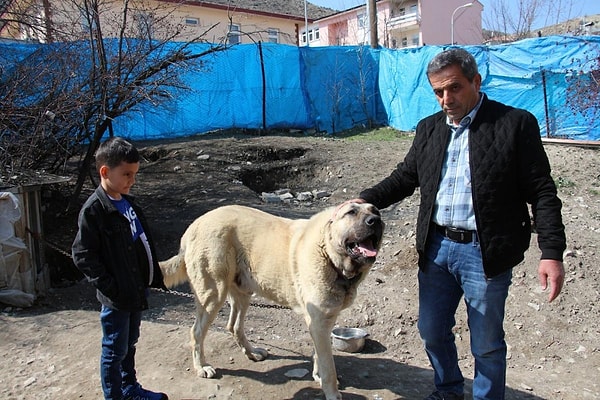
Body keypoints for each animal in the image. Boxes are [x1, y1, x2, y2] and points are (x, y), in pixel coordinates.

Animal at [159, 203, 384, 400]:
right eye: (351, 212)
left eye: (375, 211)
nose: (376, 220)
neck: (328, 253)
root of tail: (194, 226)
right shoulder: (319, 322)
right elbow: (329, 365)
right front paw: (331, 392)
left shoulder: (323, 321)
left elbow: (320, 355)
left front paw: (318, 375)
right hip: (213, 295)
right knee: (196, 332)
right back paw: (201, 367)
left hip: (243, 292)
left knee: (234, 326)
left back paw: (252, 352)